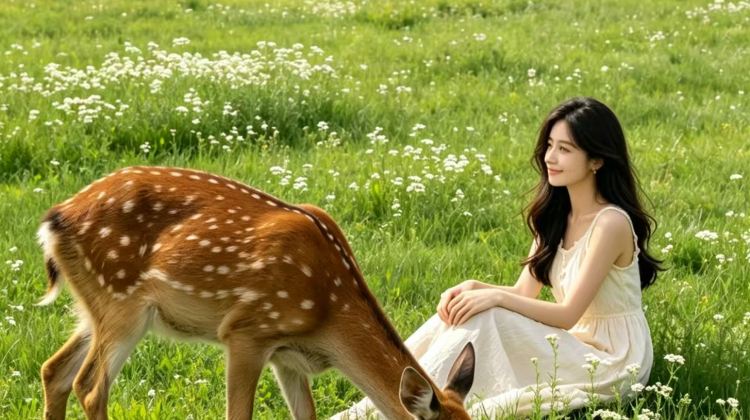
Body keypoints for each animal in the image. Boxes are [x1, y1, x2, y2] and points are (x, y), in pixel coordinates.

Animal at [36, 165, 475, 420]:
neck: (328, 315)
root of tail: (54, 219)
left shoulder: (289, 358)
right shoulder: (247, 331)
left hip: (94, 306)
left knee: (55, 370)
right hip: (122, 302)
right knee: (90, 387)